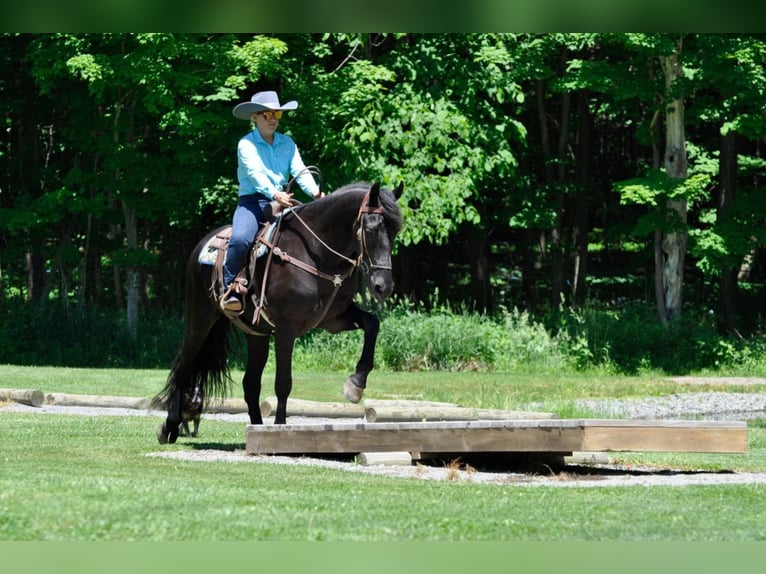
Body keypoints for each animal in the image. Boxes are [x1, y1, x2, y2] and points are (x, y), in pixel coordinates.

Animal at [157, 181, 408, 446]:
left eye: (395, 231)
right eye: (370, 229)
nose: (383, 287)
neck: (316, 254)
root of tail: (201, 246)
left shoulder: (335, 319)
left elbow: (372, 323)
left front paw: (355, 384)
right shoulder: (286, 329)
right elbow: (283, 382)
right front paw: (280, 427)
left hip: (256, 334)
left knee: (250, 383)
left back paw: (257, 430)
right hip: (199, 319)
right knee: (184, 367)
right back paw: (169, 427)